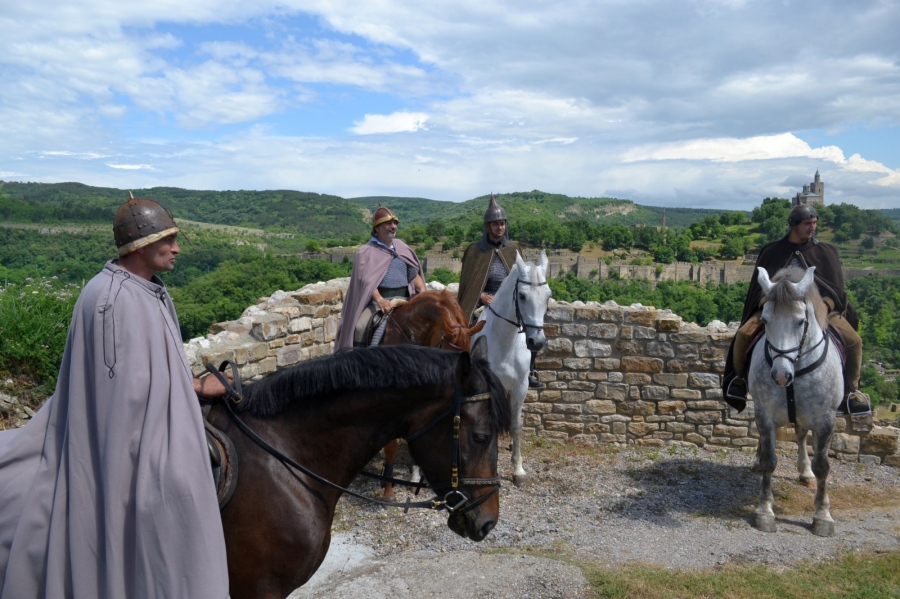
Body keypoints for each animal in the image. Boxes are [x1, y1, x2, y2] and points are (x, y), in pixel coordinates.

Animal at [474, 248, 552, 488]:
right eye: (523, 296)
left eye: (548, 296)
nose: (536, 342)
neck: (504, 342)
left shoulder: (519, 388)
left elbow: (516, 425)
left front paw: (518, 470)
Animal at [744, 264, 844, 536]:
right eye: (765, 320)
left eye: (801, 321)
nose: (780, 375)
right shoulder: (764, 412)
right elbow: (769, 461)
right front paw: (765, 510)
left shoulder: (826, 418)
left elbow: (823, 466)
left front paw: (823, 515)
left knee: (800, 435)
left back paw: (805, 472)